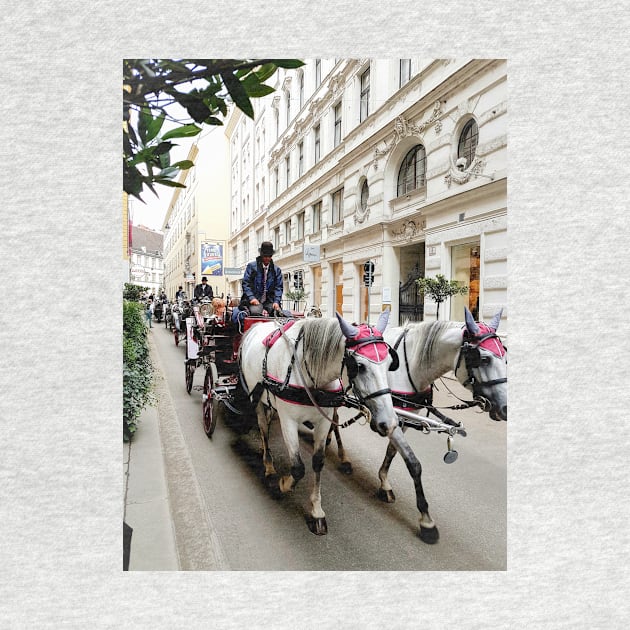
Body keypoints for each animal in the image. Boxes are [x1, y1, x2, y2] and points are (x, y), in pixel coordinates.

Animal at [239, 310, 398, 532]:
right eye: (359, 366)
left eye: (390, 364)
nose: (389, 422)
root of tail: (257, 325)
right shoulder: (288, 420)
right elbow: (298, 468)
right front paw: (283, 484)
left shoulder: (323, 422)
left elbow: (317, 462)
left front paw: (316, 510)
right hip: (257, 398)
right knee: (263, 428)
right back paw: (269, 466)